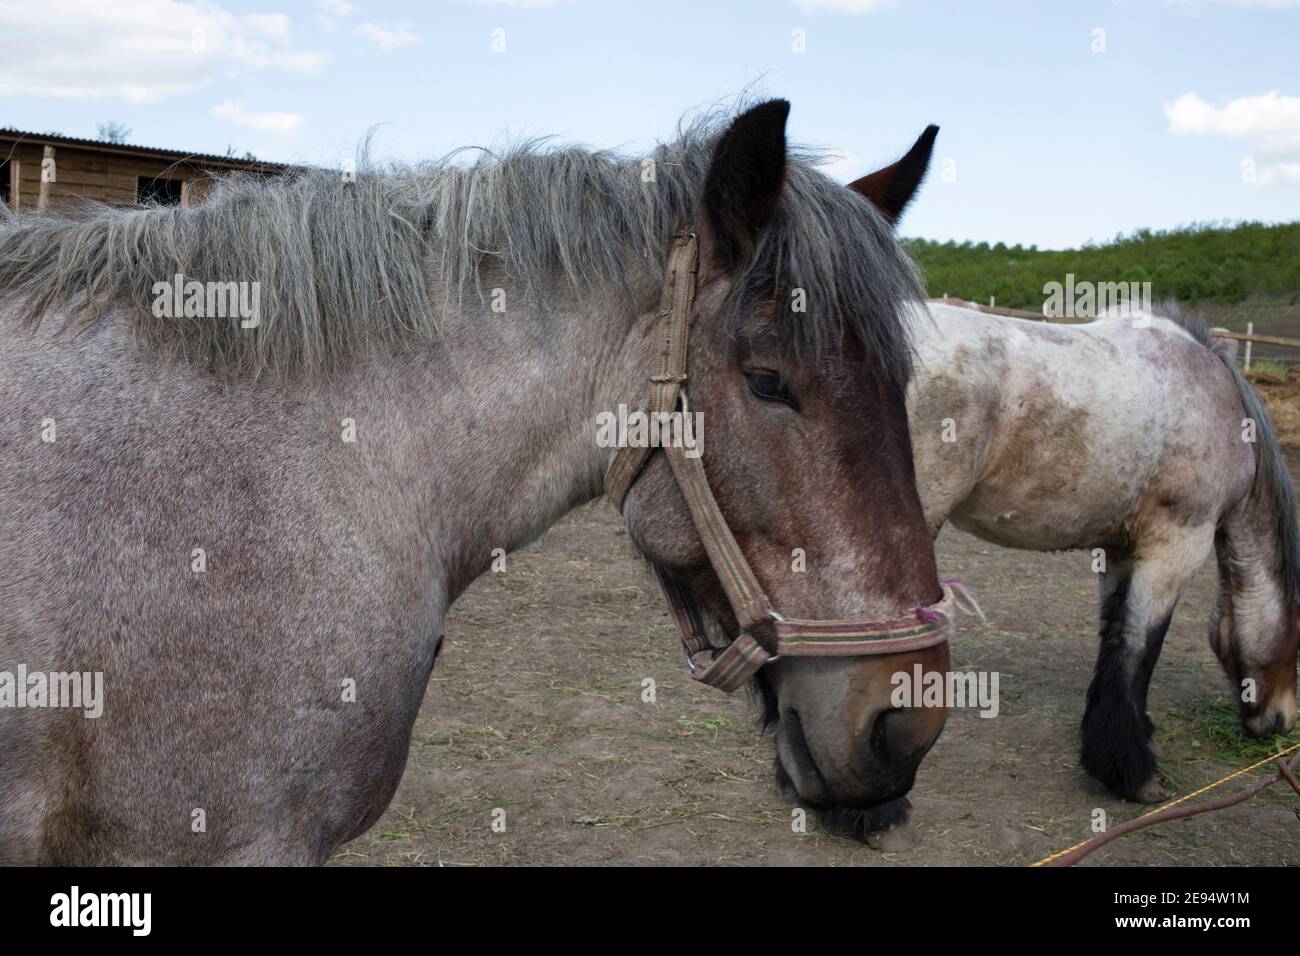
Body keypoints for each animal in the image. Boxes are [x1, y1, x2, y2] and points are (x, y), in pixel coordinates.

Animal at [852, 130, 1300, 806]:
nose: (1279, 721)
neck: (1220, 402)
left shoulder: (1120, 551)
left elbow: (1115, 642)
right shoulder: (1176, 547)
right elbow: (1141, 650)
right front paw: (1135, 774)